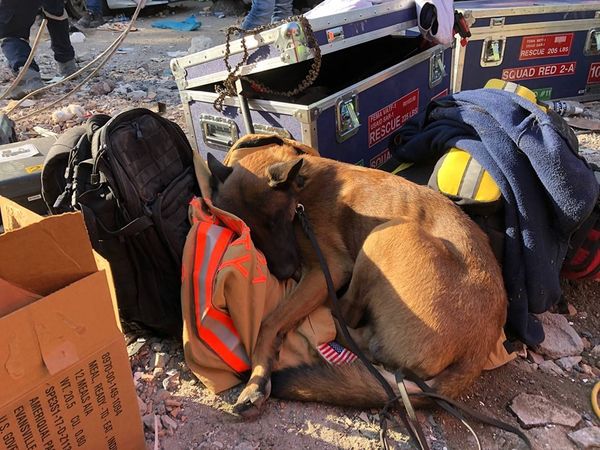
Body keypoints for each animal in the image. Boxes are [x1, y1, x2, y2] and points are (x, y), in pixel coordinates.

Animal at [206, 134, 506, 418]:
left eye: (279, 219)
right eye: (252, 234)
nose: (285, 272)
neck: (301, 186)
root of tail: (478, 348)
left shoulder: (328, 268)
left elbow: (269, 322)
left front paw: (256, 380)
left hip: (385, 234)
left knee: (345, 318)